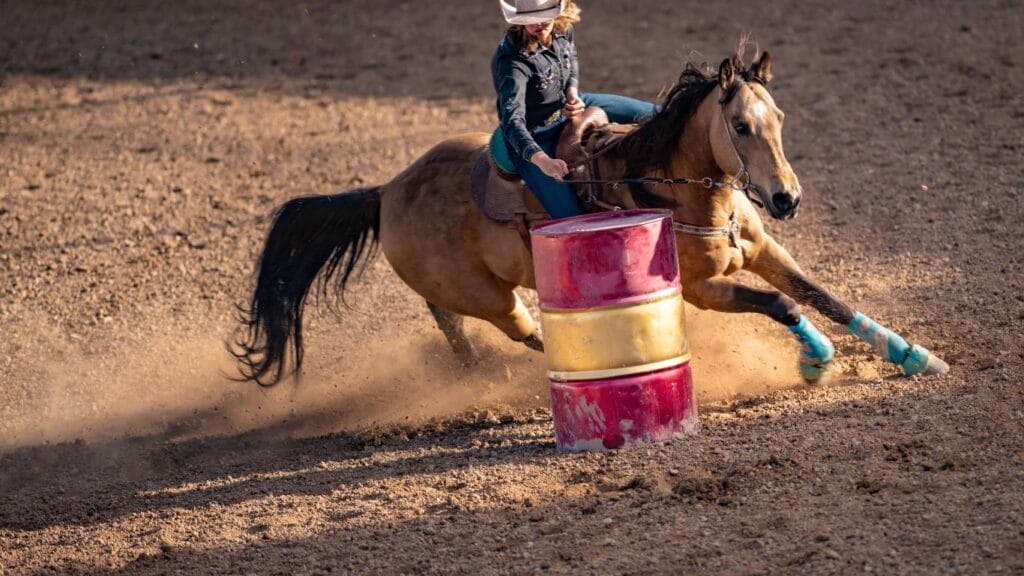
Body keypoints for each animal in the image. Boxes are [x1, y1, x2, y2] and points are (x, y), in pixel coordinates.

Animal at [230, 50, 942, 385]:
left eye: (781, 119)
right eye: (740, 125)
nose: (787, 198)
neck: (676, 189)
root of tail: (386, 191)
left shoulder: (764, 249)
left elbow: (824, 296)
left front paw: (916, 357)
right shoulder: (703, 290)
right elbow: (783, 306)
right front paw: (816, 363)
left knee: (450, 321)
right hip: (493, 298)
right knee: (519, 328)